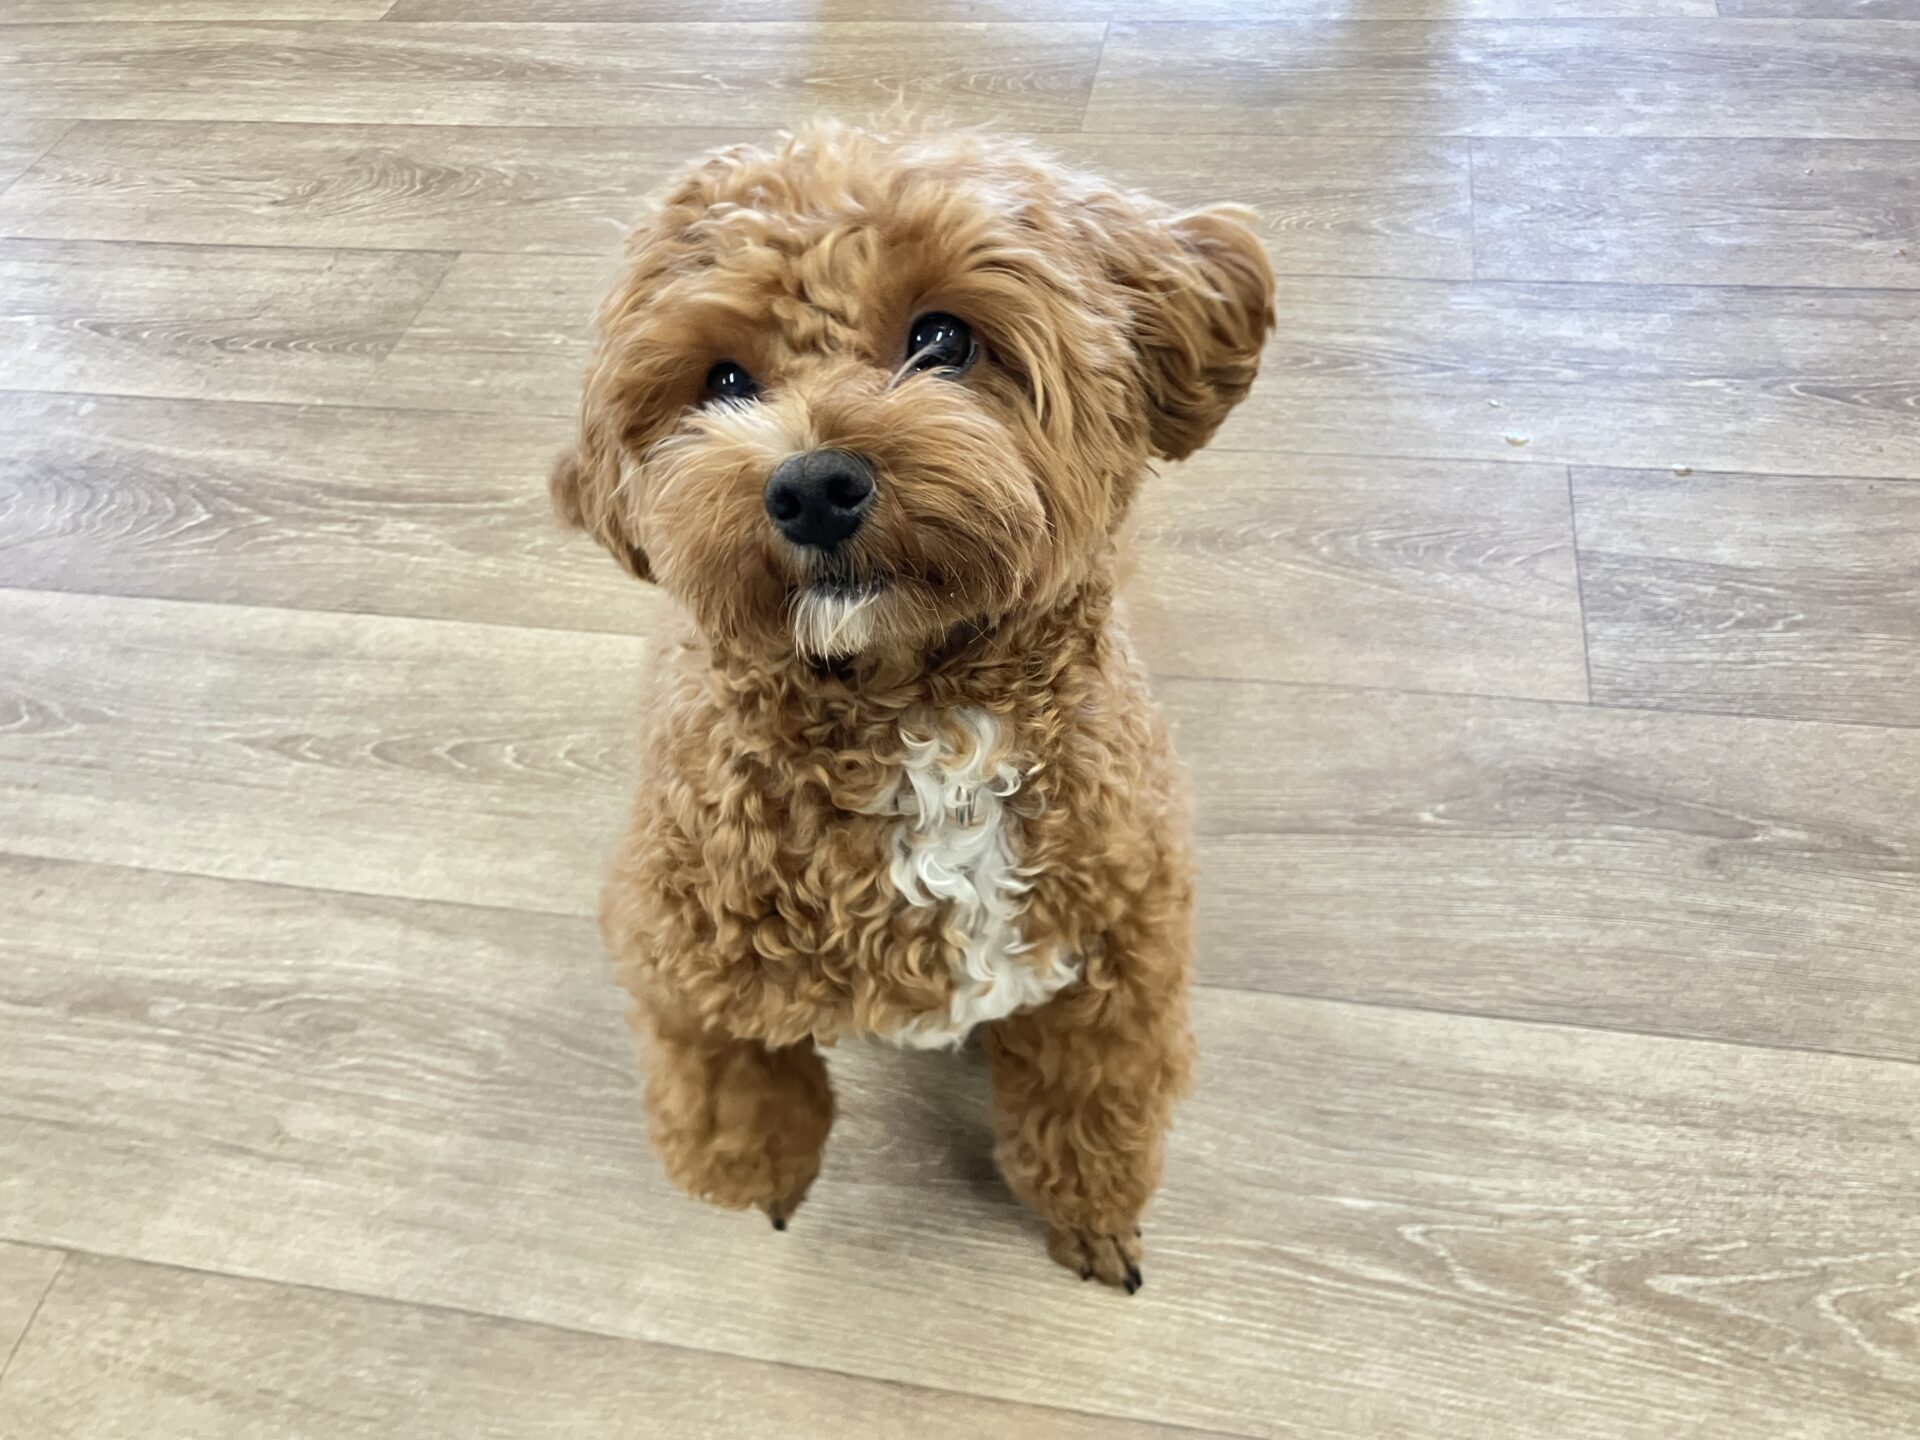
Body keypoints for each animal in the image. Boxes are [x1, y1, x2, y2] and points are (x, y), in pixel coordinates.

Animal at [549, 121, 1273, 1291]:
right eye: (723, 379)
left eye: (941, 338)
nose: (809, 486)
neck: (917, 712)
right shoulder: (674, 944)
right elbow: (728, 1085)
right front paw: (771, 1180)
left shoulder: (1119, 957)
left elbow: (1094, 1107)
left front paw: (1093, 1220)